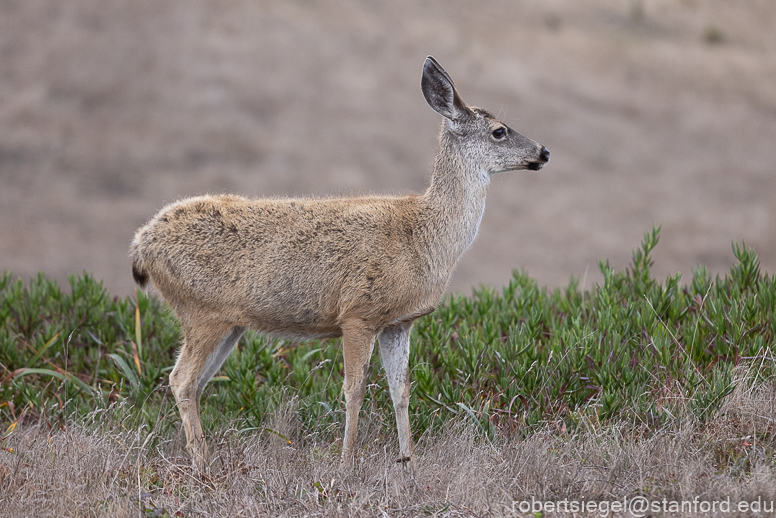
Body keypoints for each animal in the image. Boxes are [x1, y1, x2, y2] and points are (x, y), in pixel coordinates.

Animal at [130, 54, 548, 474]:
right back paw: (203, 465)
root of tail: (141, 242)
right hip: (201, 311)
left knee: (195, 384)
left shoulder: (399, 322)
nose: (544, 151)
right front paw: (347, 463)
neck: (424, 237)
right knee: (181, 379)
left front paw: (410, 463)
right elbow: (355, 390)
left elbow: (401, 391)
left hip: (228, 323)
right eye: (499, 131)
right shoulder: (358, 313)